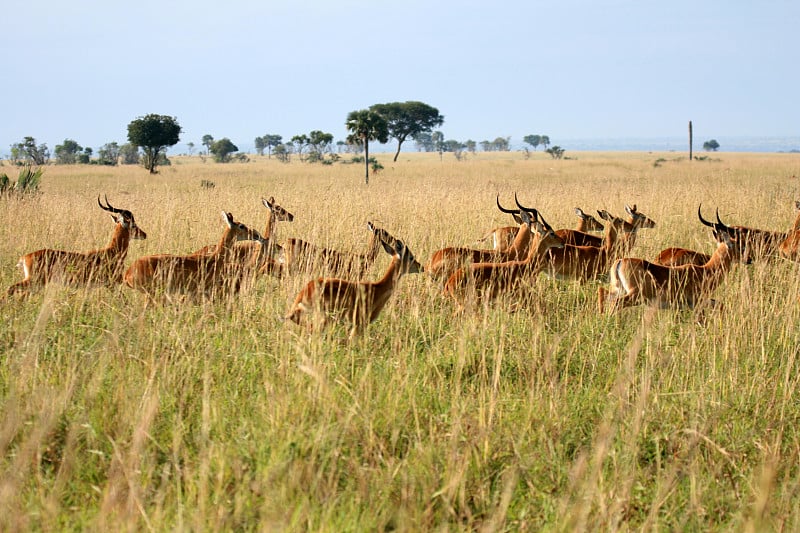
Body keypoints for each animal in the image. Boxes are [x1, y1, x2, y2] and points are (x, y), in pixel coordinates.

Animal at [7, 194, 147, 298]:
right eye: (133, 225)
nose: (144, 234)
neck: (111, 251)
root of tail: (26, 257)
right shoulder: (111, 283)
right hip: (34, 281)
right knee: (11, 288)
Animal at [600, 204, 752, 312]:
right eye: (740, 246)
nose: (749, 259)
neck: (705, 271)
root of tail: (620, 261)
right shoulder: (695, 303)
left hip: (618, 290)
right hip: (633, 296)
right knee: (615, 303)